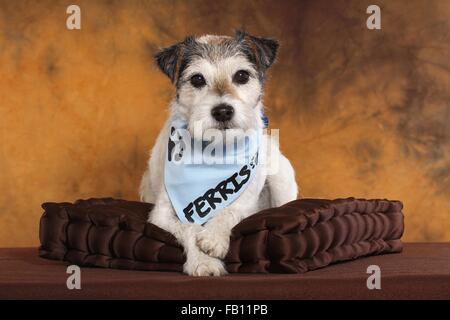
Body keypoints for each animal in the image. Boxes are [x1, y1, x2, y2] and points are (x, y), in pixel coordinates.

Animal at [139, 30, 298, 276]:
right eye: (197, 79)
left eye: (241, 75)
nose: (222, 111)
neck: (216, 150)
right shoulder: (162, 214)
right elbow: (189, 225)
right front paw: (203, 261)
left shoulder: (247, 204)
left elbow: (229, 211)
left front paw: (214, 237)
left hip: (280, 177)